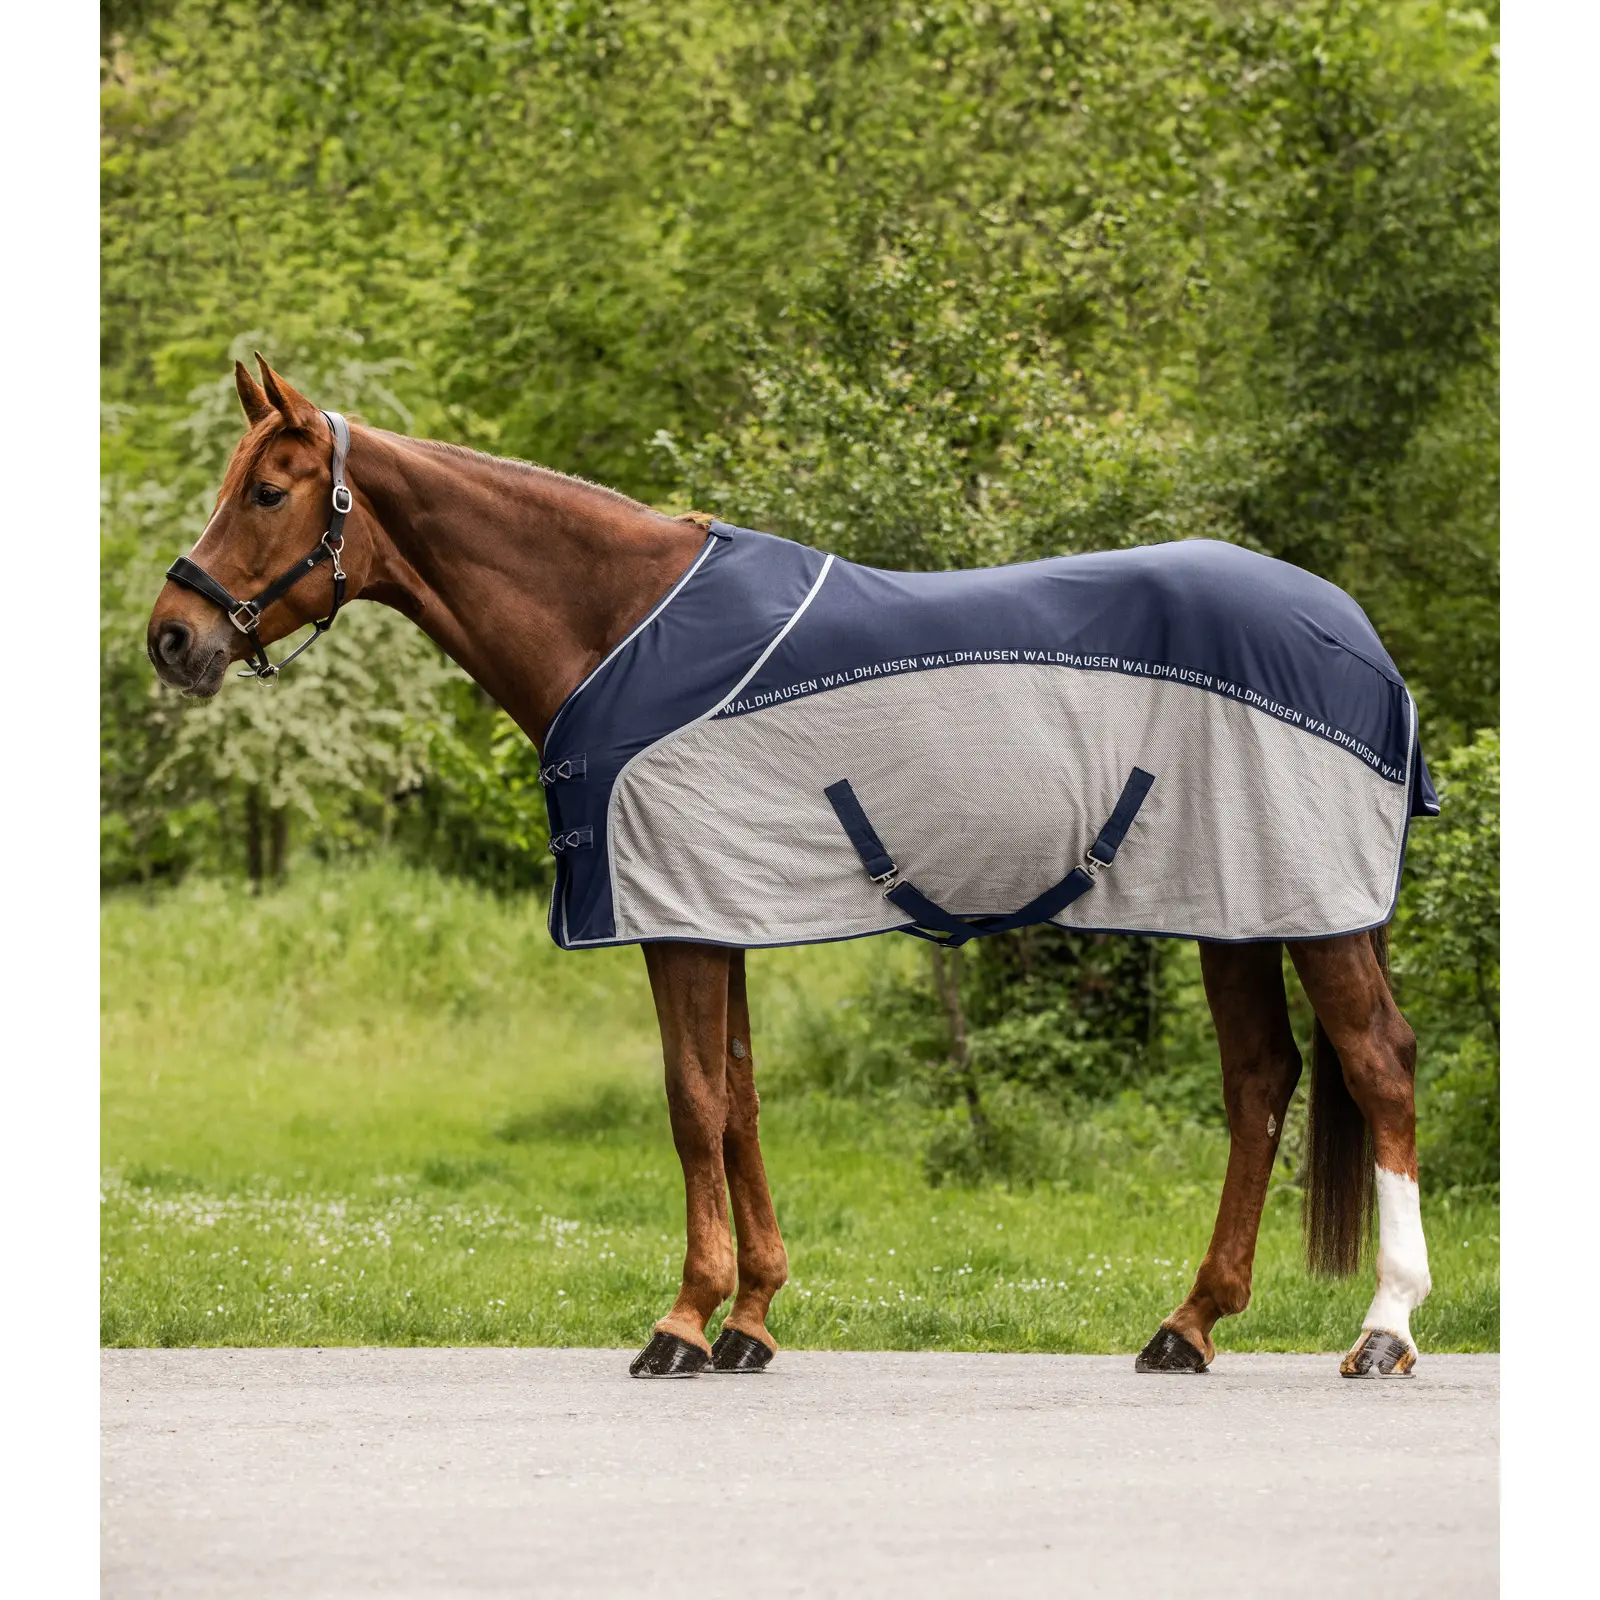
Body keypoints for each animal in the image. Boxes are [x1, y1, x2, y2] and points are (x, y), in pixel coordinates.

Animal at [146, 358, 1434, 1380]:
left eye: (266, 490)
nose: (172, 635)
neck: (620, 623)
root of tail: (1356, 633)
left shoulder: (675, 919)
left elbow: (692, 1104)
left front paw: (681, 1320)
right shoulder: (719, 909)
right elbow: (741, 1099)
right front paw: (751, 1318)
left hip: (1309, 909)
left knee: (1377, 1064)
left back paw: (1383, 1328)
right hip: (1236, 911)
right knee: (1261, 1079)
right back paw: (1190, 1322)